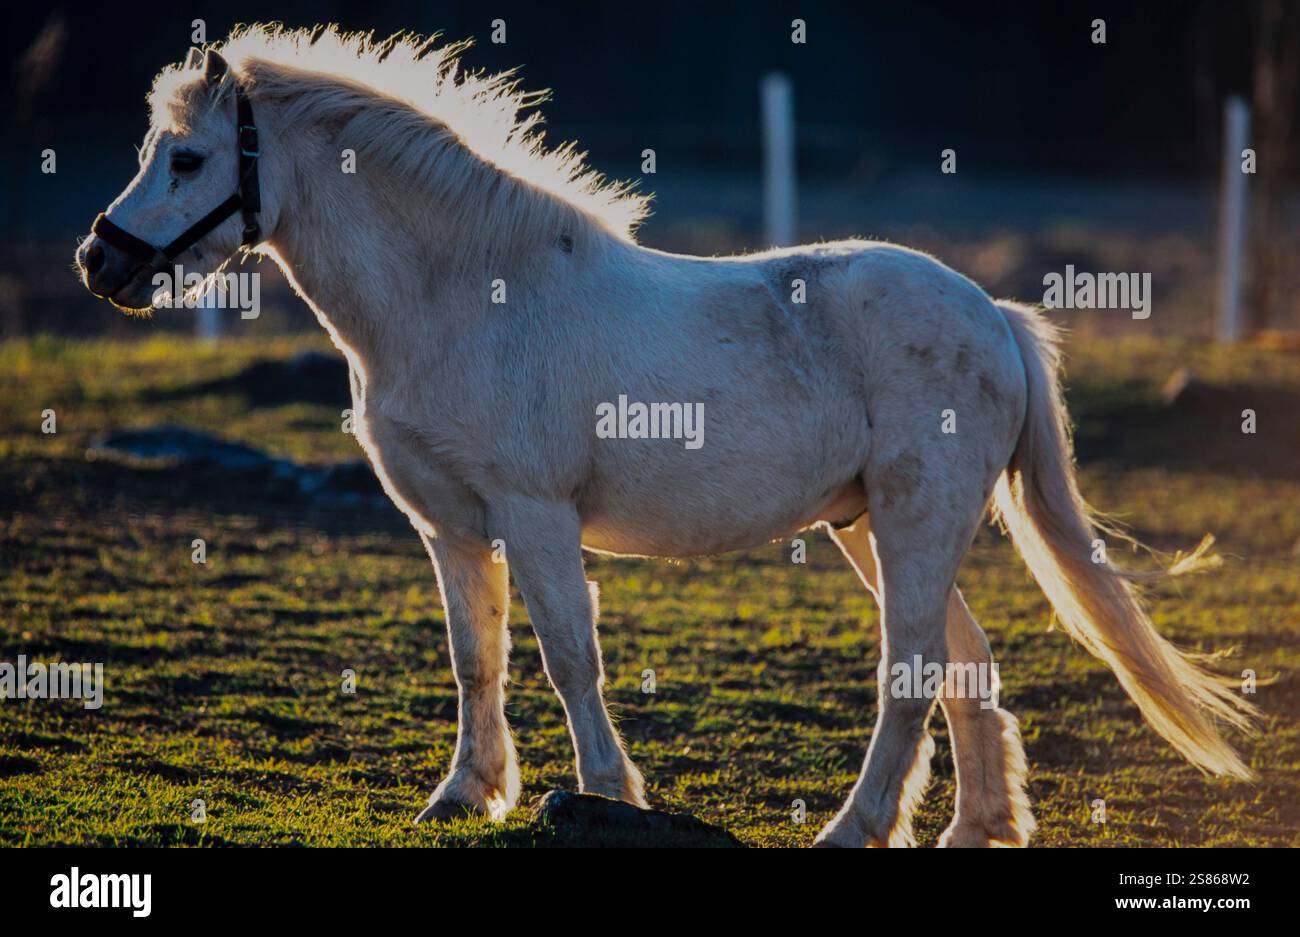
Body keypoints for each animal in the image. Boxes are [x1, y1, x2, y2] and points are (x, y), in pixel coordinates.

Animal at [75, 25, 1255, 847]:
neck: (464, 296)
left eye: (187, 161)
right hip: (873, 527)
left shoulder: (535, 516)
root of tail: (994, 315)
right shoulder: (448, 527)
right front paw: (464, 793)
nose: (101, 263)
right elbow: (474, 657)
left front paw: (603, 793)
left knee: (912, 672)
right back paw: (975, 827)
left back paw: (853, 827)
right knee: (960, 665)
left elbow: (569, 656)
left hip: (915, 523)